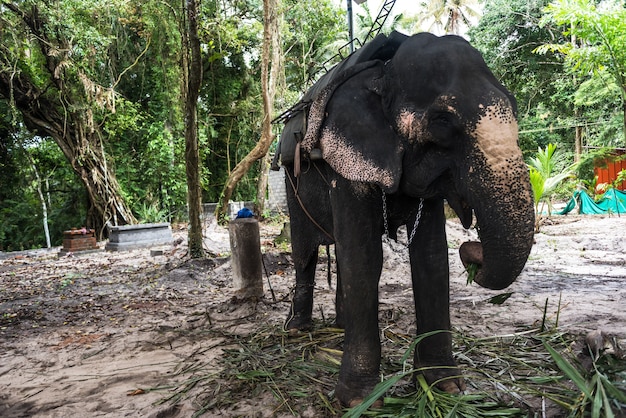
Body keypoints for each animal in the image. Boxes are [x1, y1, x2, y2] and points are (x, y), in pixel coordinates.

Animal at [272, 31, 532, 408]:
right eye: (443, 122)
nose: (472, 251)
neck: (383, 72)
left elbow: (431, 258)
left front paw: (446, 388)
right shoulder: (346, 161)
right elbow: (364, 259)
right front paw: (359, 402)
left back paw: (340, 326)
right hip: (291, 187)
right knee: (304, 254)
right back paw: (297, 330)